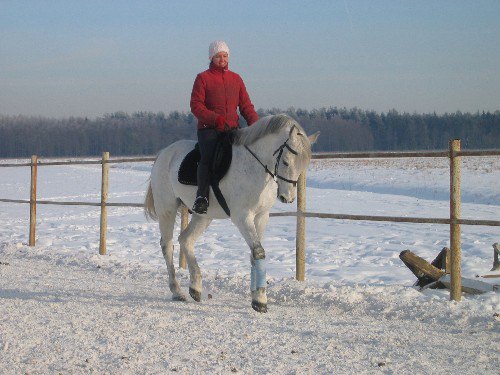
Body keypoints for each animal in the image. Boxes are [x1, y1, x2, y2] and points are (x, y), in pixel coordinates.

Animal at [145, 114, 318, 312]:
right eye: (286, 162)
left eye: (303, 165)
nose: (287, 197)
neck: (254, 166)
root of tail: (164, 153)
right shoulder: (243, 217)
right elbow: (258, 252)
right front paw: (260, 300)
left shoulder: (261, 216)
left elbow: (254, 254)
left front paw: (255, 295)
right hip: (167, 209)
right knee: (167, 245)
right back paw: (177, 291)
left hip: (204, 216)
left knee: (185, 240)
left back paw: (195, 288)